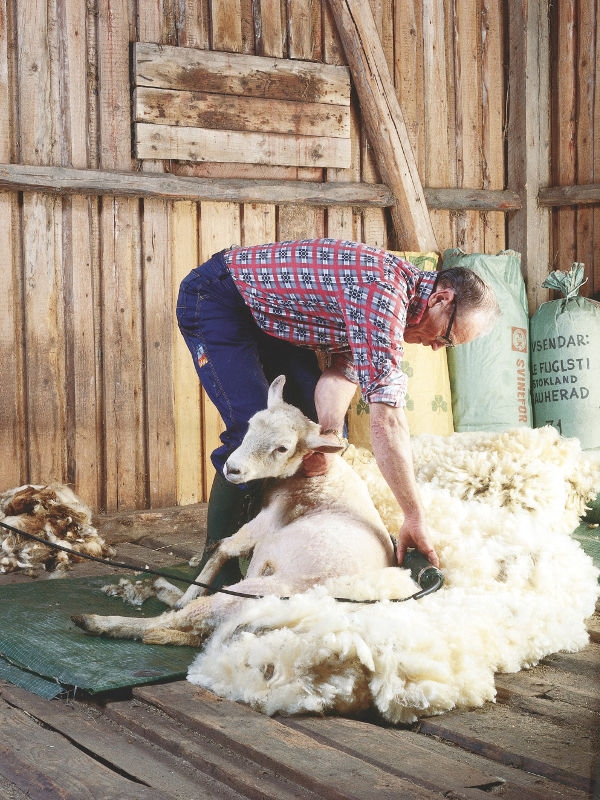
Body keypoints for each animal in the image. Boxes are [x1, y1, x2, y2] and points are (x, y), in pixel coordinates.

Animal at [72, 376, 400, 644]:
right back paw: (165, 591)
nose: (232, 468)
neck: (317, 477)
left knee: (175, 619)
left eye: (283, 447)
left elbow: (224, 547)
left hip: (251, 594)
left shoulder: (272, 518)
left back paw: (100, 621)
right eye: (251, 424)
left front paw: (193, 587)